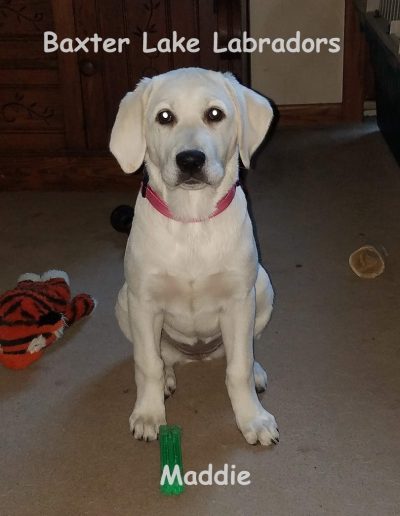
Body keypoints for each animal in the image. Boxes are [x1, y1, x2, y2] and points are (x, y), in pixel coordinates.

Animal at [108, 66, 278, 446]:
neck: (192, 220)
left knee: (246, 350)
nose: (190, 160)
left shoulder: (239, 300)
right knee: (162, 358)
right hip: (124, 302)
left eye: (214, 114)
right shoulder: (144, 302)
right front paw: (149, 414)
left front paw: (253, 419)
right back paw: (168, 378)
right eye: (164, 117)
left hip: (262, 288)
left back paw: (258, 372)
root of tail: (197, 356)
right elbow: (147, 364)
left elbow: (238, 369)